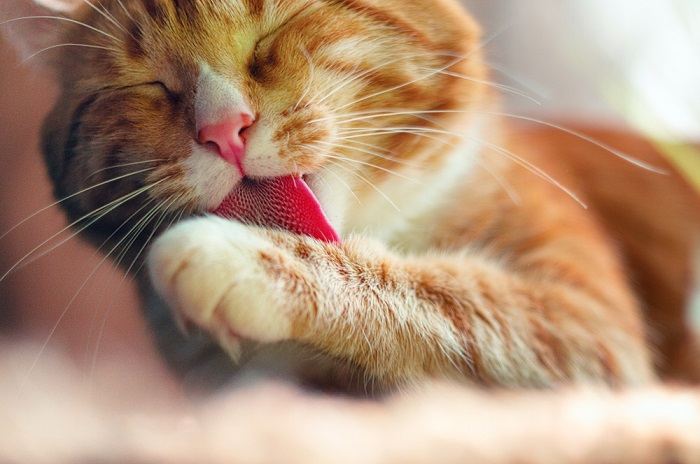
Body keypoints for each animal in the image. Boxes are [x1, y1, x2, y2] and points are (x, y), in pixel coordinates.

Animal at [0, 0, 696, 392]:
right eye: (148, 85)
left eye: (269, 35)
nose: (223, 130)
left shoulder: (587, 325)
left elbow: (444, 296)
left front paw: (247, 258)